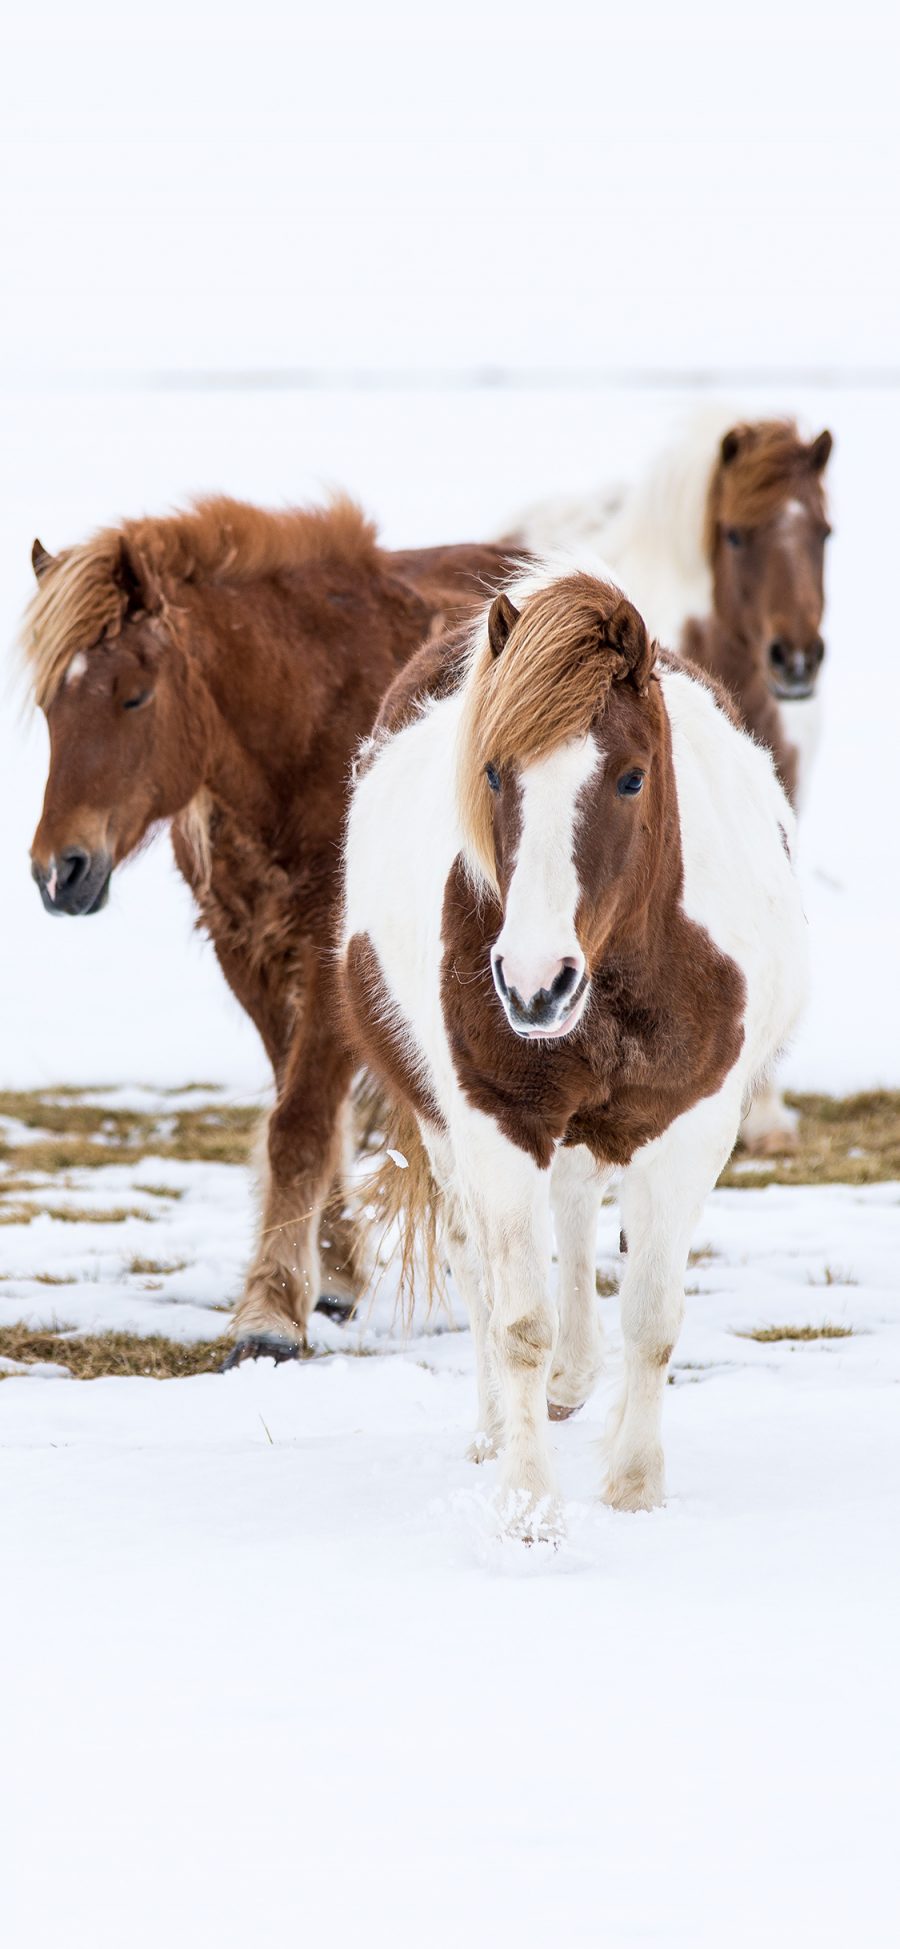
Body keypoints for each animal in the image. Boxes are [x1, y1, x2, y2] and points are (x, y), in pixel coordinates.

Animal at [22, 495, 514, 1364]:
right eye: (50, 703)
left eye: (135, 695)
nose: (59, 872)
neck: (308, 727)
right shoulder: (245, 951)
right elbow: (309, 1109)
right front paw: (331, 1276)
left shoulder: (329, 955)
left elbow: (300, 1120)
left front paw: (268, 1317)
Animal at [338, 557, 810, 1528]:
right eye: (491, 772)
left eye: (631, 778)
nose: (532, 982)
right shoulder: (496, 1119)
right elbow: (516, 1319)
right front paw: (526, 1504)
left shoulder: (693, 1128)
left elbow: (653, 1317)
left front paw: (634, 1487)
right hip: (445, 1127)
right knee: (478, 1263)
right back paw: (501, 1423)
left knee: (585, 1210)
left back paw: (583, 1383)